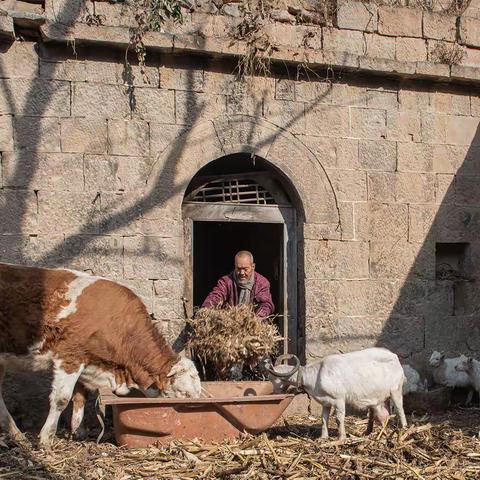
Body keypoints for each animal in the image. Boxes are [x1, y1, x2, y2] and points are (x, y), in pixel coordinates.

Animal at [0, 264, 202, 444]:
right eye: (184, 393)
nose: (199, 404)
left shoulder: (87, 359)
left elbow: (80, 396)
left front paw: (78, 432)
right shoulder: (70, 356)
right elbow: (61, 399)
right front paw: (46, 439)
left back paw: (15, 434)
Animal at [264, 346, 406, 440]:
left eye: (272, 378)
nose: (275, 392)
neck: (317, 375)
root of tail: (395, 357)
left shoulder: (339, 400)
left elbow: (338, 419)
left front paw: (341, 438)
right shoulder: (326, 403)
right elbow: (324, 419)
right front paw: (323, 437)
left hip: (396, 390)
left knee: (400, 410)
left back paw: (404, 429)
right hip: (382, 398)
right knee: (383, 415)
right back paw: (375, 433)